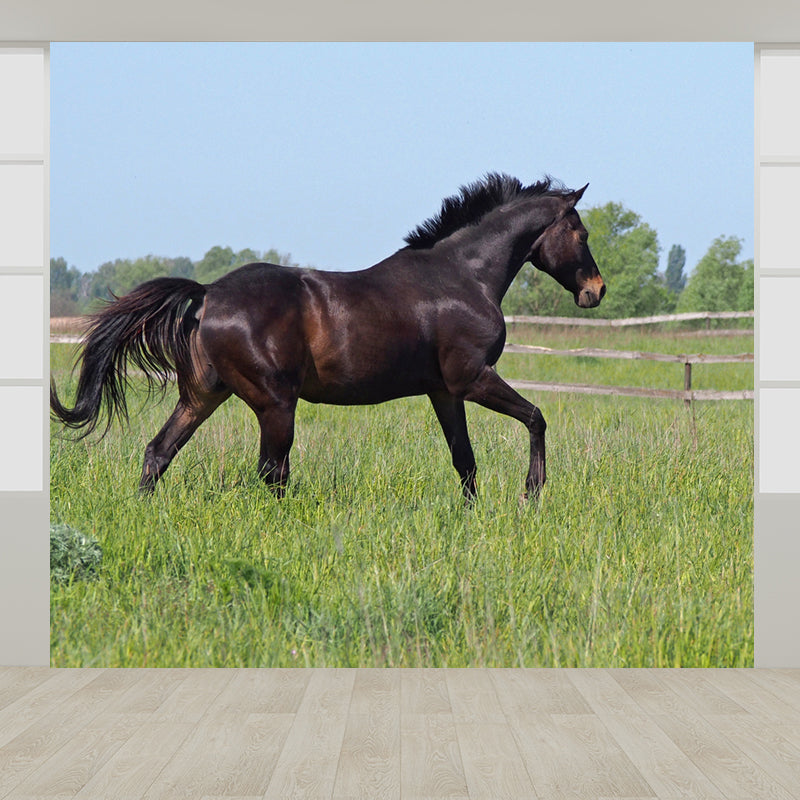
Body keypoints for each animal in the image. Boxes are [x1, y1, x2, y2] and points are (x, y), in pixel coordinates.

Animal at [50, 173, 605, 501]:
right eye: (580, 232)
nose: (595, 291)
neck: (462, 276)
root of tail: (208, 295)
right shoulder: (471, 378)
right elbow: (536, 417)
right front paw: (532, 492)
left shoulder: (444, 391)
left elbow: (464, 461)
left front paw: (476, 514)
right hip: (275, 402)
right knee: (271, 470)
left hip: (205, 395)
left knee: (160, 452)